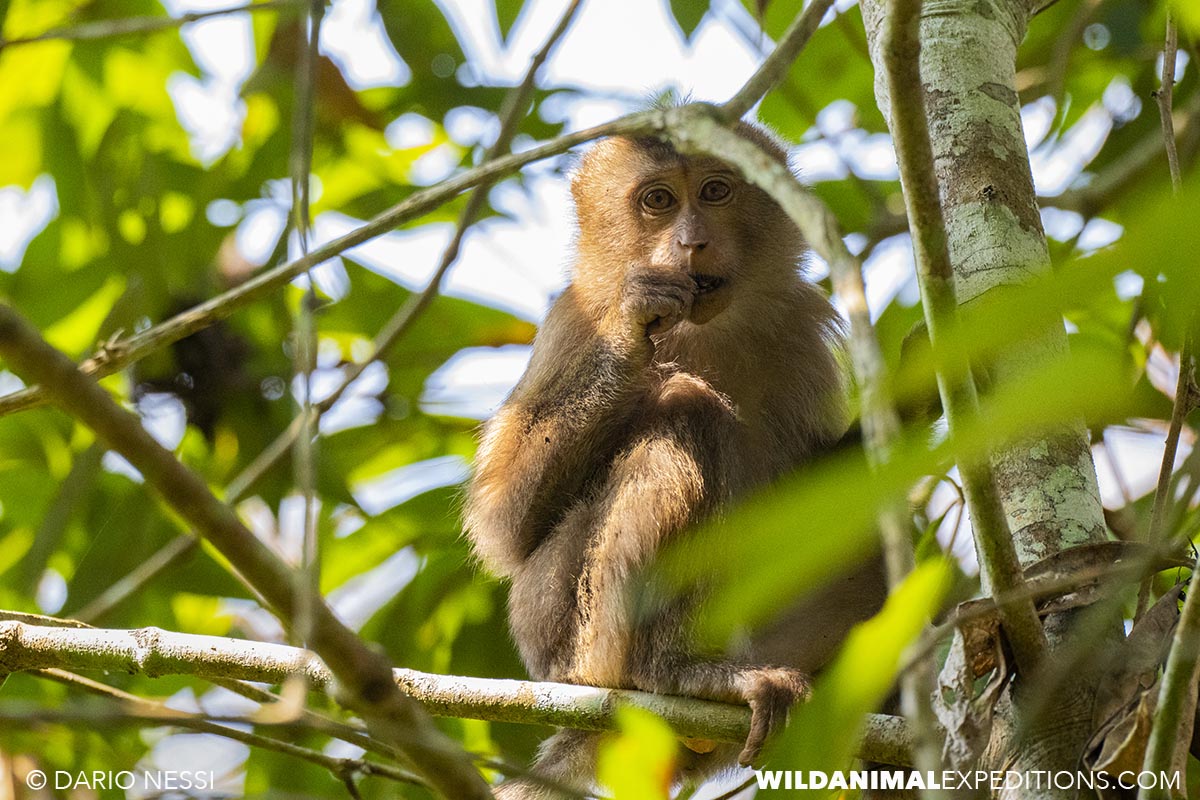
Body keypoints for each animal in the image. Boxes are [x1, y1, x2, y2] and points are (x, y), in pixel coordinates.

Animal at [464, 122, 885, 797]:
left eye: (715, 191)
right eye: (658, 201)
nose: (692, 242)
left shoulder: (801, 328)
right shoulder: (573, 318)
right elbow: (502, 528)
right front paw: (635, 326)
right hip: (567, 635)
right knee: (685, 410)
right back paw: (676, 673)